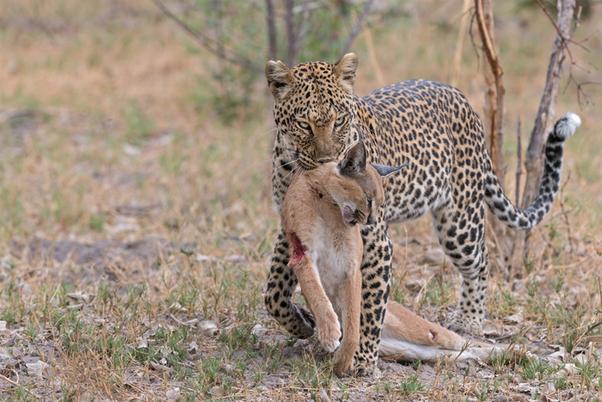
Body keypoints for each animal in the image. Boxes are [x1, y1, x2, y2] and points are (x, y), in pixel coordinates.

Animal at [262, 51, 576, 376]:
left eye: (339, 122)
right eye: (304, 124)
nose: (327, 161)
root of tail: (459, 97)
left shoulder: (376, 243)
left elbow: (368, 306)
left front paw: (363, 359)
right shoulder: (290, 230)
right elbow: (274, 291)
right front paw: (300, 323)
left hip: (459, 223)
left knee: (480, 263)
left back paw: (470, 320)